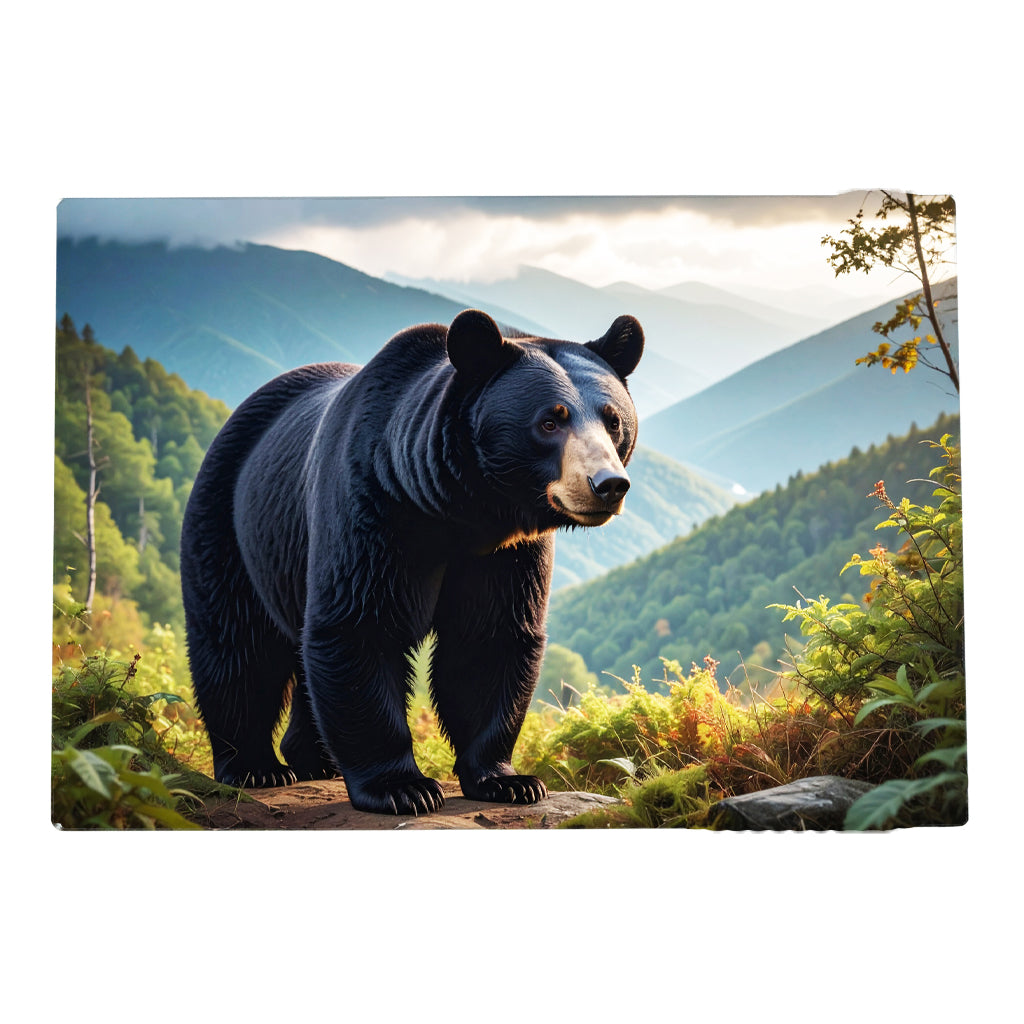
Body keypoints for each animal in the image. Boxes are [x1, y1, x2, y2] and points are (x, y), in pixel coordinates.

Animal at [179, 308, 644, 814]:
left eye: (613, 420)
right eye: (550, 421)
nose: (608, 484)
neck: (461, 509)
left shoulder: (505, 554)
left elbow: (489, 639)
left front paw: (510, 780)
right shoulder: (375, 511)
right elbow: (360, 625)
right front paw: (403, 787)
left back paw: (314, 758)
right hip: (231, 521)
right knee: (236, 642)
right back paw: (255, 766)